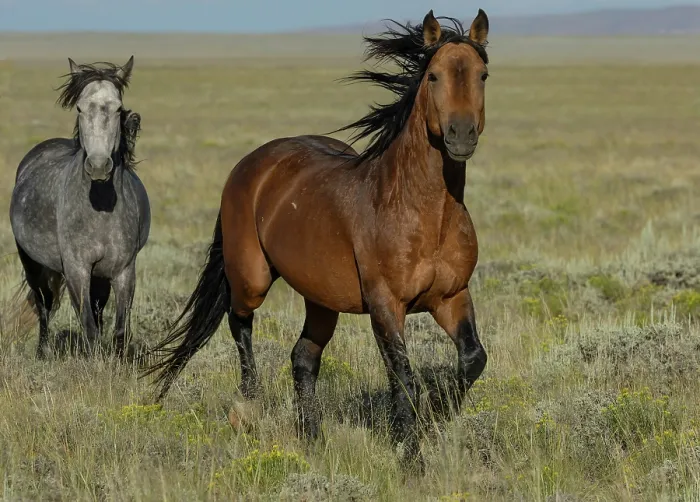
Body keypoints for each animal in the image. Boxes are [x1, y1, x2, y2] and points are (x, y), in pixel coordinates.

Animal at [10, 56, 150, 359]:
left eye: (118, 107)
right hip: (32, 263)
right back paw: (43, 352)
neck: (100, 208)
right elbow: (88, 326)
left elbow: (119, 329)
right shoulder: (77, 268)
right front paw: (93, 363)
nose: (98, 167)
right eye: (79, 107)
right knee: (44, 303)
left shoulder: (123, 269)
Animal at [146, 10, 490, 470]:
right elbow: (404, 378)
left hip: (322, 300)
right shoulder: (386, 306)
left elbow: (472, 359)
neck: (423, 212)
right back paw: (248, 407)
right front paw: (411, 457)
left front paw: (438, 411)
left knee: (303, 357)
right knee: (239, 320)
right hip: (253, 276)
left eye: (483, 75)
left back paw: (312, 438)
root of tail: (252, 162)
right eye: (433, 76)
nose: (461, 136)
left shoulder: (452, 297)